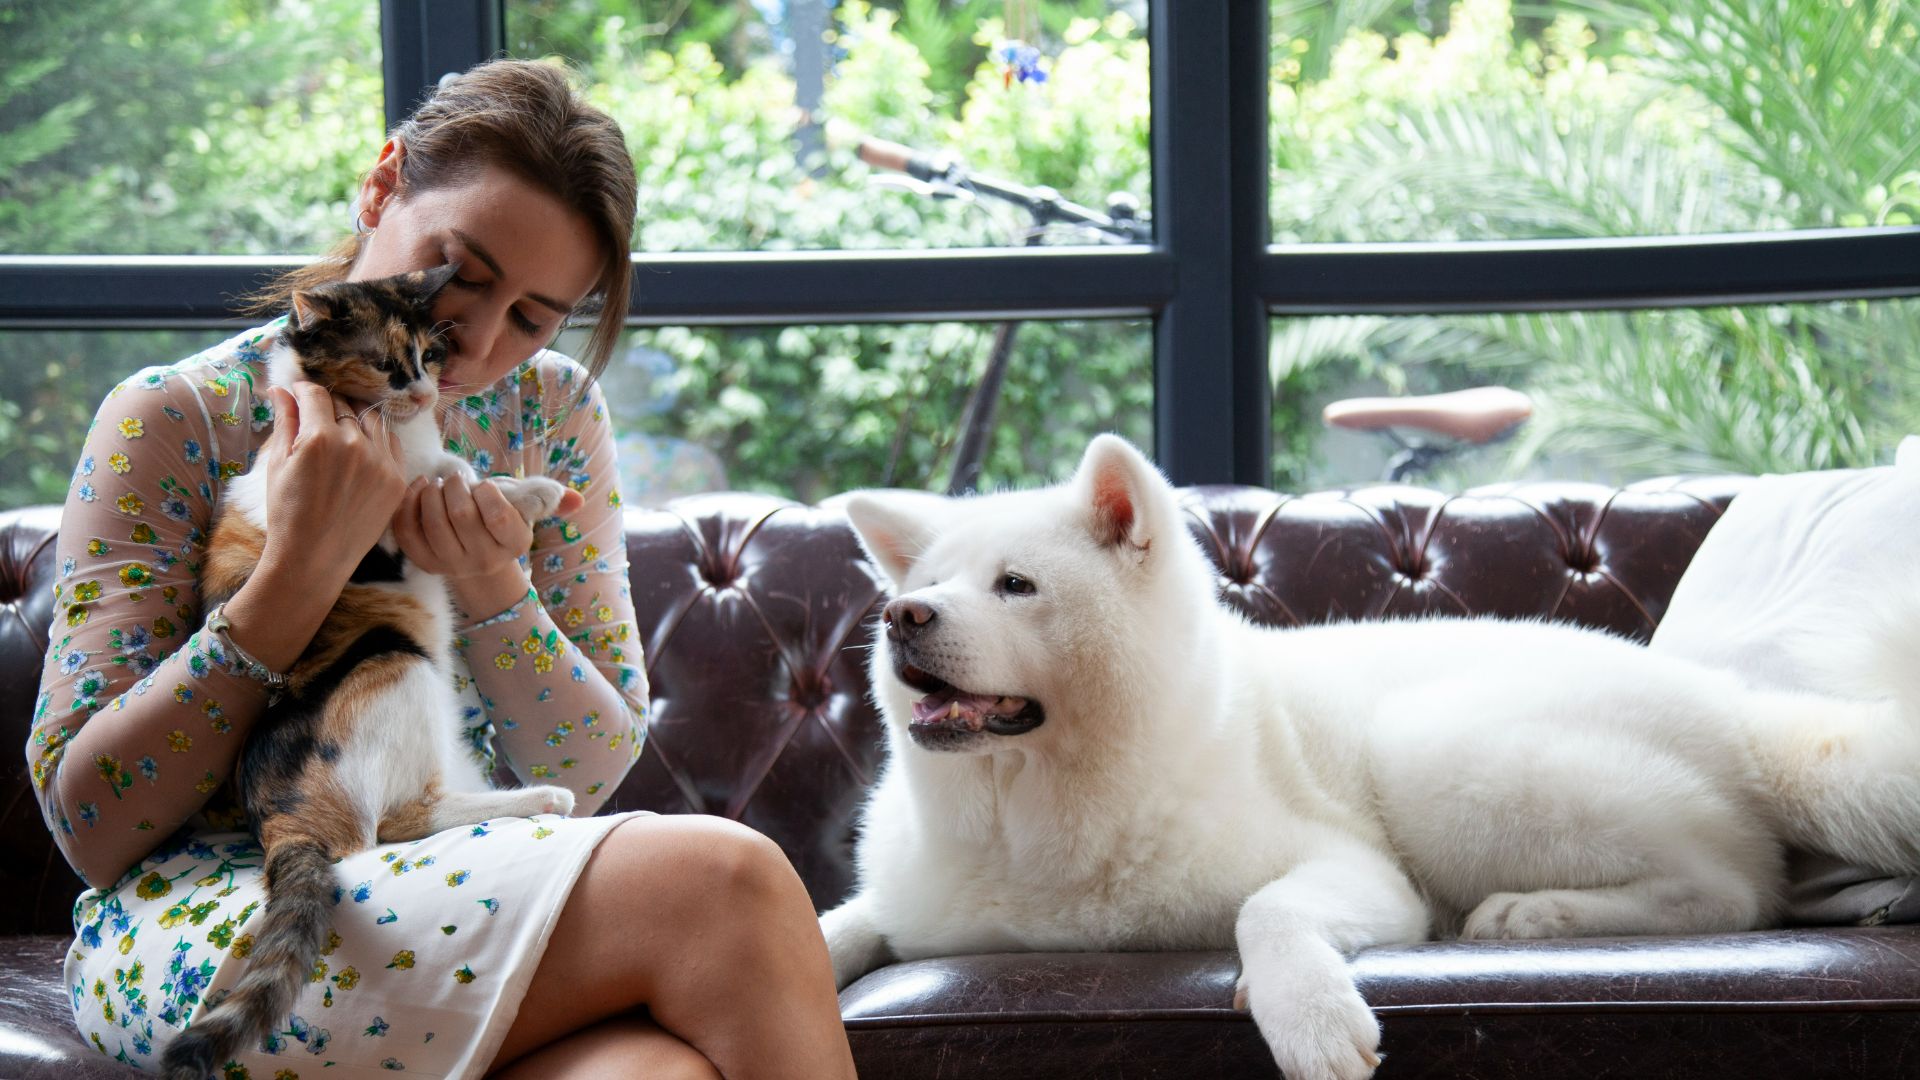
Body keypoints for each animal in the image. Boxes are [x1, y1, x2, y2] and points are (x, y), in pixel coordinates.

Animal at [166, 263, 572, 1076]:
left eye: (430, 354)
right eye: (386, 364)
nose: (421, 392)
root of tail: (280, 822)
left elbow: (454, 471)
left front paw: (518, 491)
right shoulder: (356, 522)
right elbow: (448, 478)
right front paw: (521, 492)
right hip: (395, 663)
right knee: (395, 823)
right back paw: (541, 799)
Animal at [817, 432, 1920, 1076]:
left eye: (1015, 585)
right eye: (927, 584)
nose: (902, 618)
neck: (1029, 812)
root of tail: (1734, 706)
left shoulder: (1363, 875)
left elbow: (1268, 913)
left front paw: (1308, 1020)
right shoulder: (906, 901)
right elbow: (837, 923)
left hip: (1432, 753)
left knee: (1733, 890)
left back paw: (1531, 915)